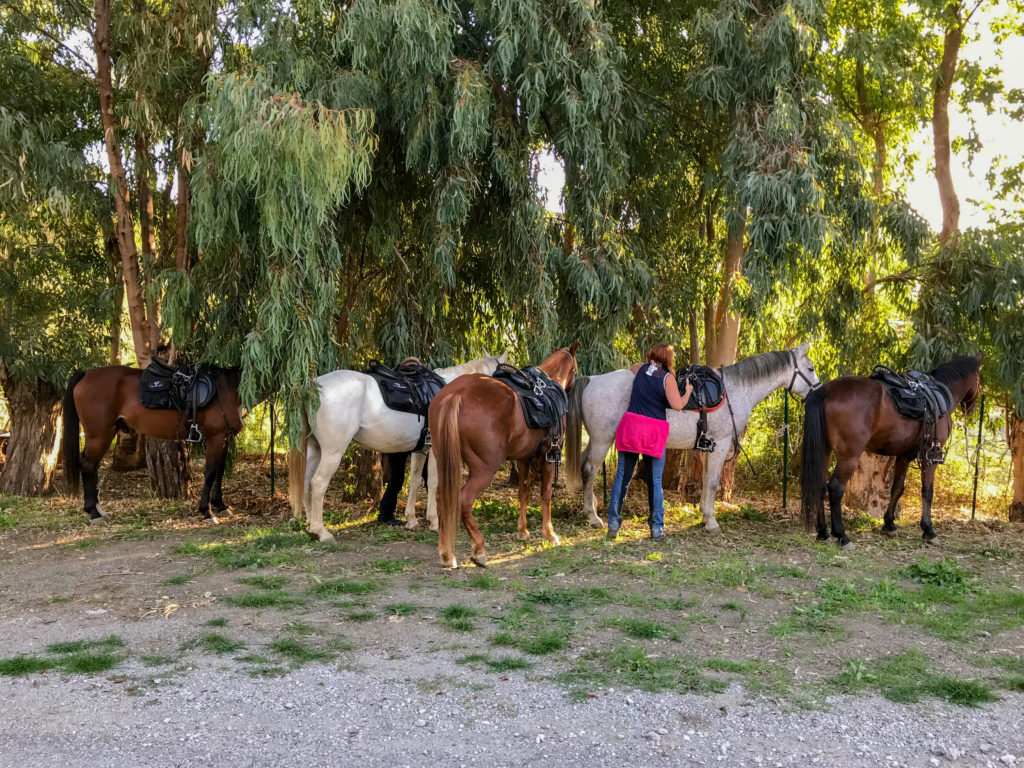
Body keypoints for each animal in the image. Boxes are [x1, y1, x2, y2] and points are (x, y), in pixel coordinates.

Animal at [62, 364, 245, 524]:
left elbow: (220, 470)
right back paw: (93, 512)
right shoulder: (216, 438)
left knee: (92, 466)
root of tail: (87, 373)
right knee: (87, 465)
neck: (225, 391)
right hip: (98, 435)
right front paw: (207, 511)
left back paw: (97, 509)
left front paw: (221, 505)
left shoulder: (224, 439)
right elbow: (211, 473)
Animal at [303, 352, 512, 544]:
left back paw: (310, 526)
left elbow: (415, 481)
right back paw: (321, 532)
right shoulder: (436, 450)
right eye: (505, 374)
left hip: (314, 450)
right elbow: (434, 482)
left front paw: (412, 521)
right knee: (318, 483)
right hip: (333, 452)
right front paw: (435, 522)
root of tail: (315, 388)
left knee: (306, 483)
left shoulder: (421, 450)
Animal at [430, 346, 581, 569]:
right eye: (575, 368)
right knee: (464, 500)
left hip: (443, 461)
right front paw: (549, 533)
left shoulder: (524, 459)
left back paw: (446, 554)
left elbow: (523, 492)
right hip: (484, 469)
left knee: (441, 498)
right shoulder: (548, 458)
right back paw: (478, 549)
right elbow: (545, 495)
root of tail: (456, 394)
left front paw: (522, 531)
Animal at [565, 348, 819, 536]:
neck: (735, 390)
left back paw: (592, 508)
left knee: (584, 463)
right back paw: (593, 517)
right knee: (589, 469)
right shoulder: (722, 444)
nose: (817, 391)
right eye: (811, 368)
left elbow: (707, 481)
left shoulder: (709, 446)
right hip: (602, 440)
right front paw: (712, 522)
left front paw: (705, 516)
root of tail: (592, 380)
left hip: (596, 440)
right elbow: (714, 483)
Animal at [798, 354, 983, 548]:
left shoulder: (904, 456)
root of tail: (826, 390)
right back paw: (842, 535)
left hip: (825, 451)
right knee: (835, 489)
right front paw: (928, 530)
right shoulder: (930, 457)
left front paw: (889, 524)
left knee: (819, 486)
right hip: (849, 457)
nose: (971, 408)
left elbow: (897, 488)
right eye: (979, 379)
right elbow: (927, 491)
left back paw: (823, 532)